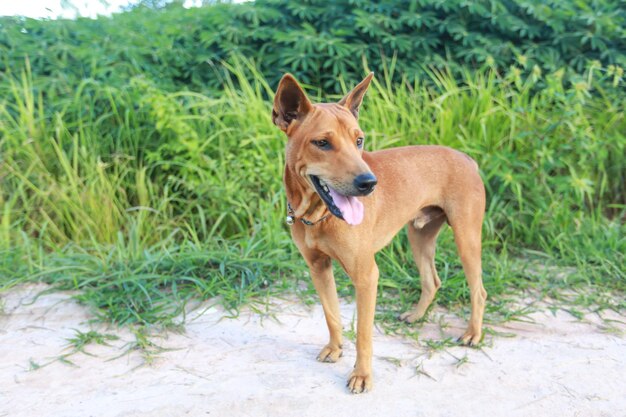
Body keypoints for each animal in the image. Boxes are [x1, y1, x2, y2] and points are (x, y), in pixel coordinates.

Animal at [270, 72, 486, 394]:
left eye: (359, 140)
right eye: (322, 143)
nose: (369, 183)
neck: (318, 216)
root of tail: (467, 158)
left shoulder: (366, 276)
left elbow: (363, 333)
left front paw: (361, 375)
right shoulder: (318, 267)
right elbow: (331, 315)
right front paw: (335, 349)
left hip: (466, 239)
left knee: (479, 291)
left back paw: (473, 333)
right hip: (419, 237)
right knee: (432, 281)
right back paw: (416, 315)